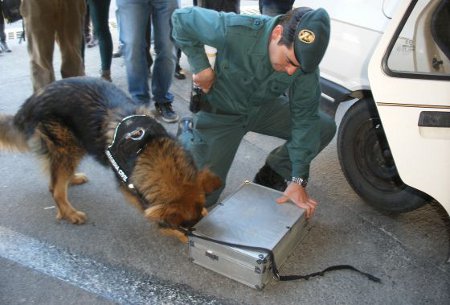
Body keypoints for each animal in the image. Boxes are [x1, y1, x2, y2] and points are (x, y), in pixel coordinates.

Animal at [0, 76, 221, 242]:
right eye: (184, 226)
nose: (193, 232)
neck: (147, 149)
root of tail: (35, 96)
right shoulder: (134, 192)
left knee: (54, 179)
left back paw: (72, 179)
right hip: (68, 146)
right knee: (56, 189)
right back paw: (70, 212)